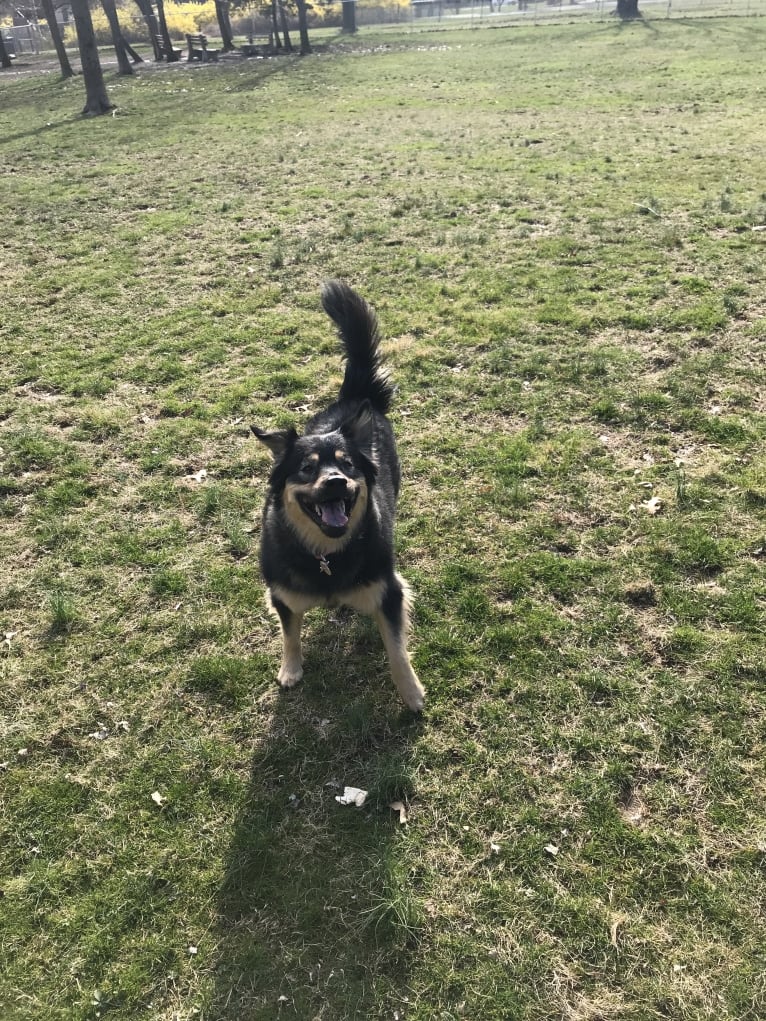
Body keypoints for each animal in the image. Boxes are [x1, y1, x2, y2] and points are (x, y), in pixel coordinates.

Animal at [255, 279, 428, 710]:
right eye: (306, 468)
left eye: (347, 465)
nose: (335, 482)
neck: (326, 557)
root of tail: (355, 396)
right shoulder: (281, 595)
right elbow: (289, 633)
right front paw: (290, 670)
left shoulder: (389, 591)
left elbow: (397, 648)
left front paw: (411, 693)